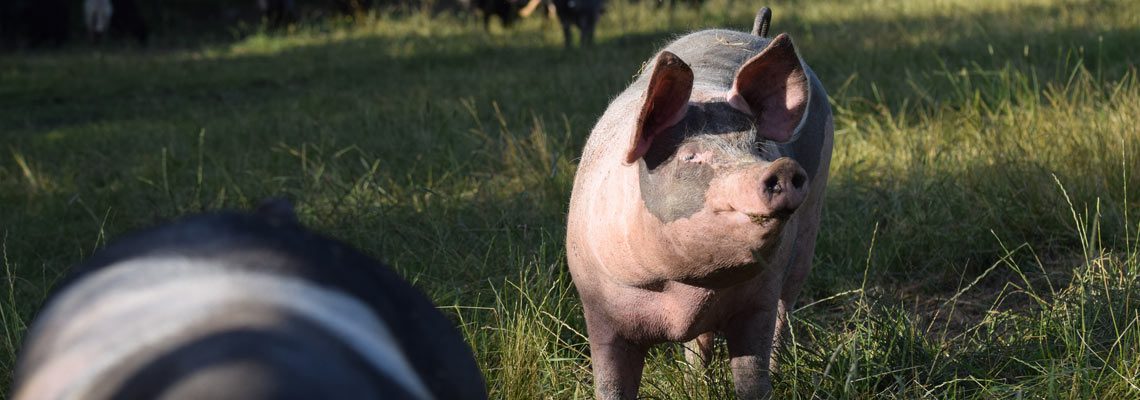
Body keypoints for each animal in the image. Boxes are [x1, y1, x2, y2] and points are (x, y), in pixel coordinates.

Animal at [565, 7, 834, 398]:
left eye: (758, 146)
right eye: (690, 156)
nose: (782, 168)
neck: (684, 289)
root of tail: (755, 33)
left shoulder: (757, 302)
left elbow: (752, 377)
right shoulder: (599, 310)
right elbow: (611, 383)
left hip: (809, 228)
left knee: (786, 308)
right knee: (701, 341)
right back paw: (696, 383)